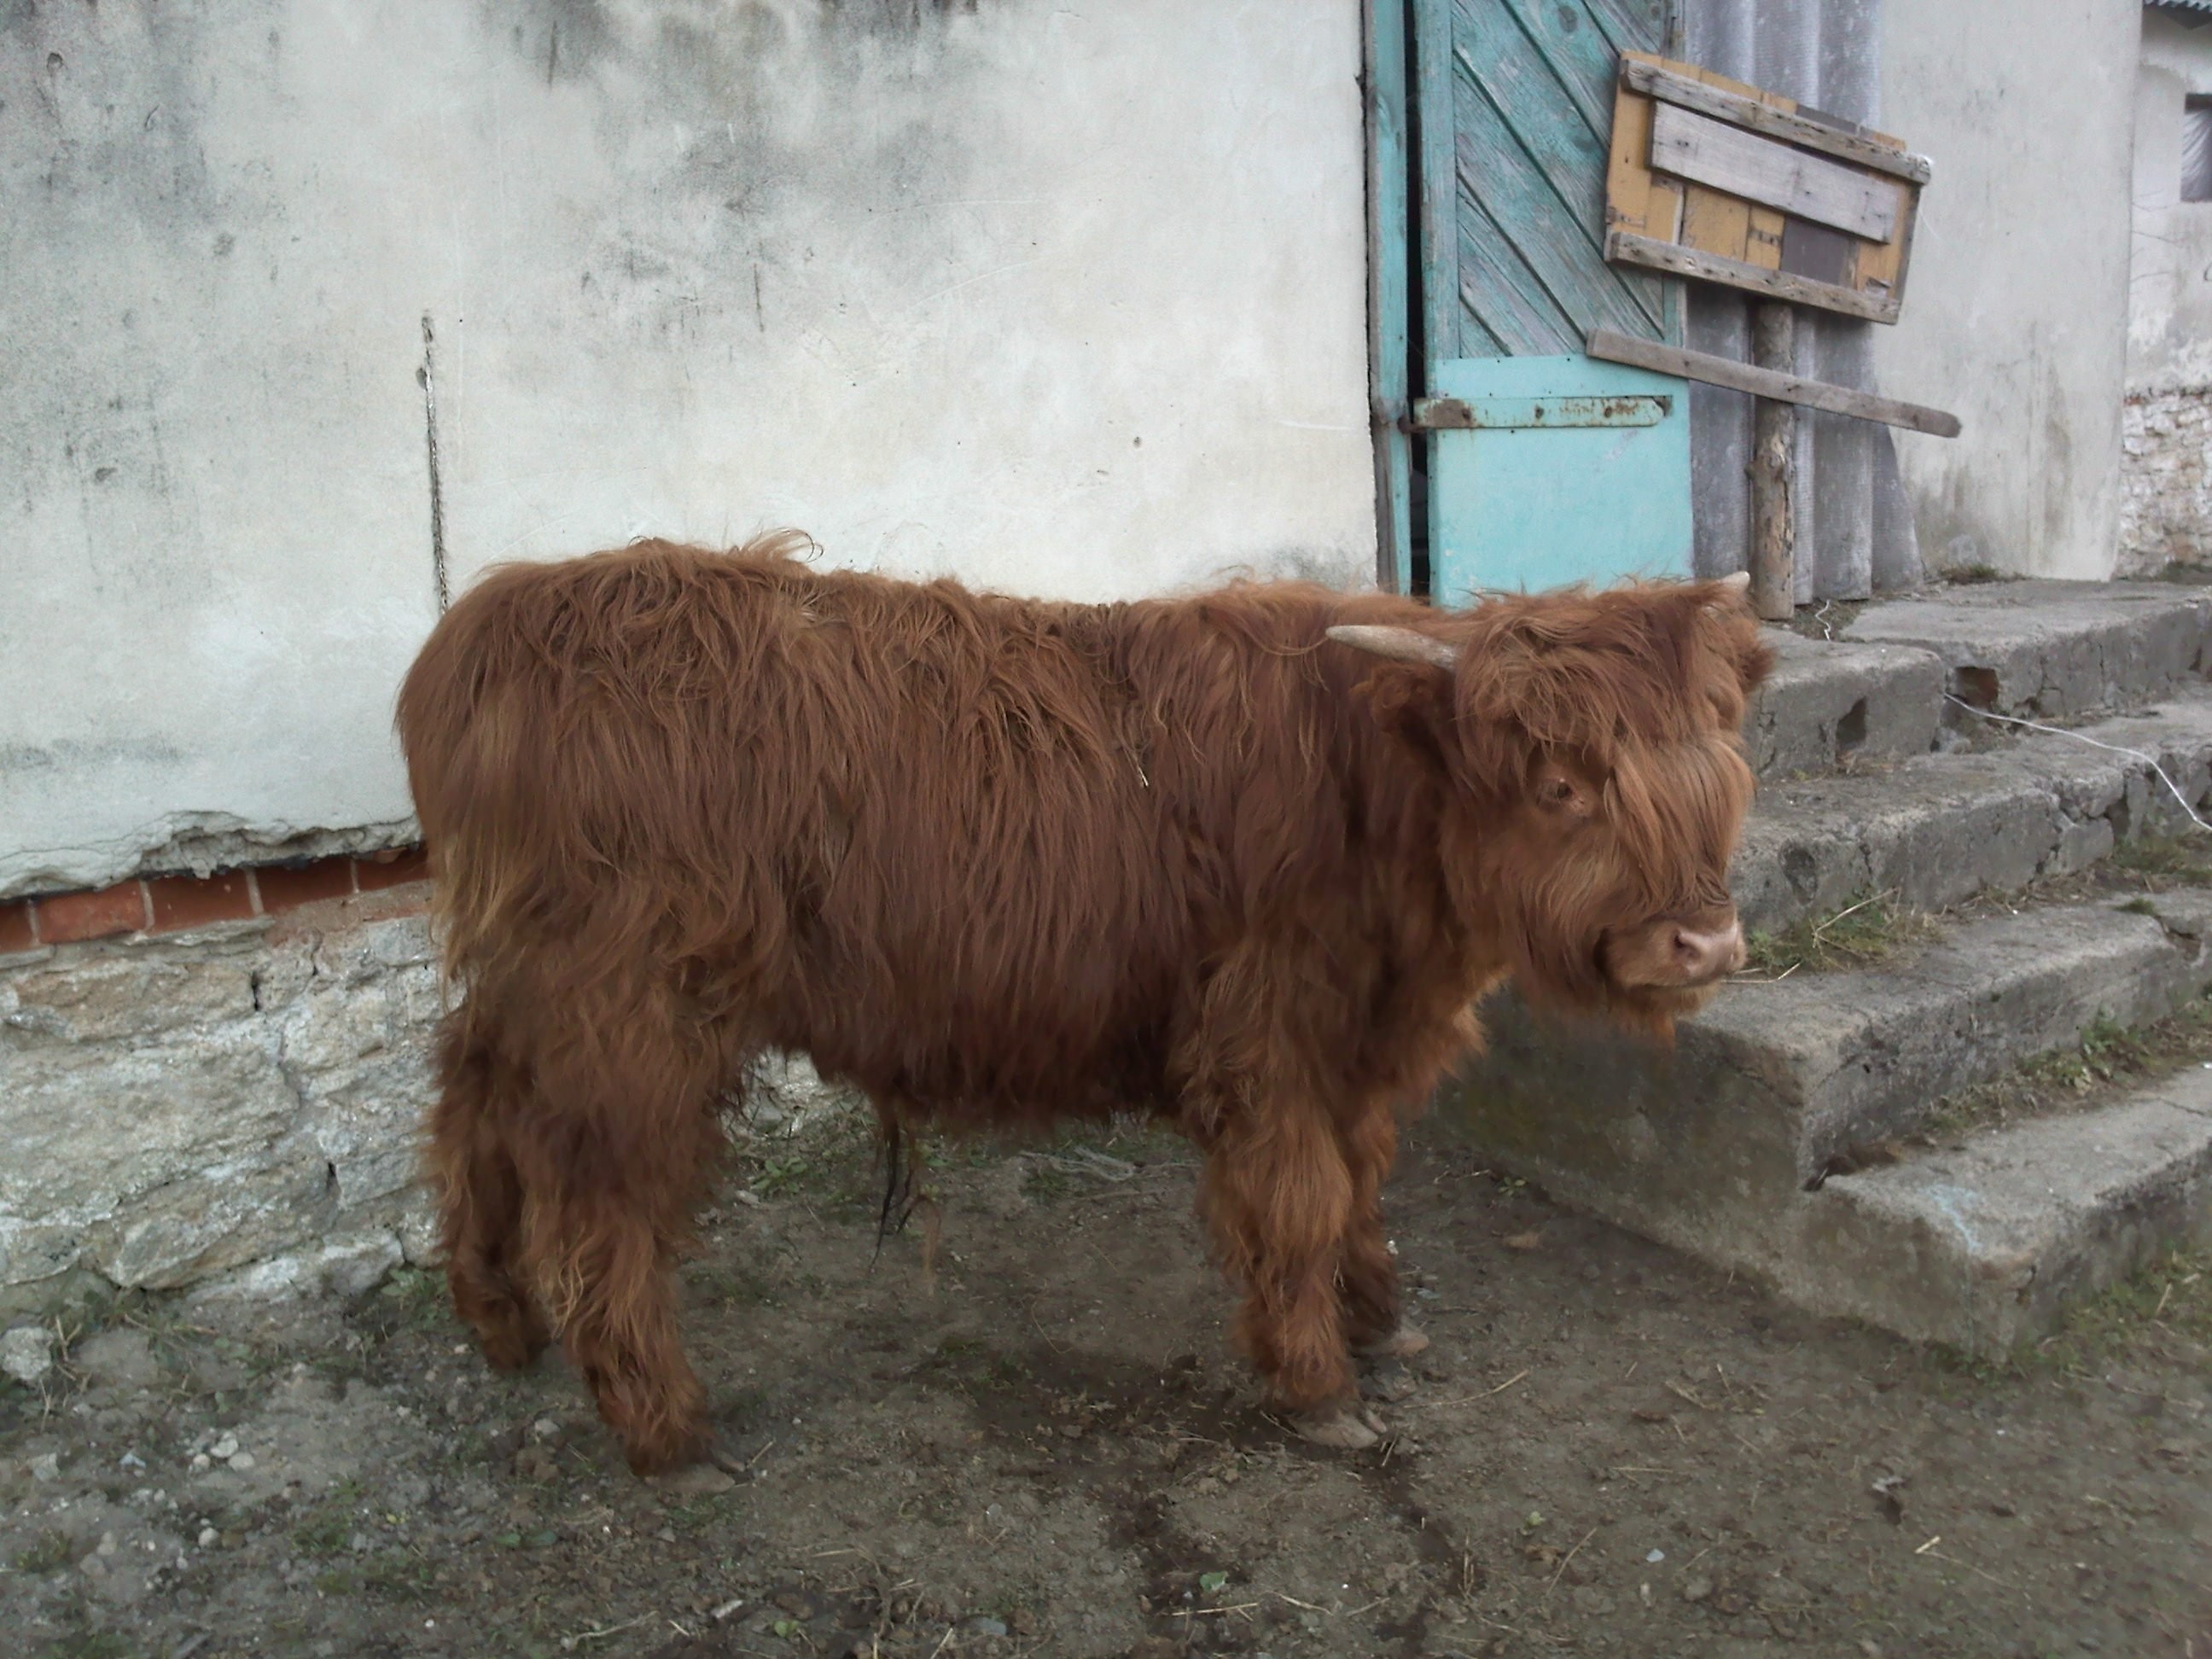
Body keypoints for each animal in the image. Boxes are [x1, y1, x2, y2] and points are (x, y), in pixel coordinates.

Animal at [395, 533, 1769, 1476]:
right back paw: (663, 1425)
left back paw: (500, 1324)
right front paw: (1318, 1384)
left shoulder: (1359, 1044)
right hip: (629, 1018)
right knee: (603, 1202)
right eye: (1560, 783)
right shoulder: (1266, 1037)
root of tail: (495, 624)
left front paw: (1379, 1319)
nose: (1704, 939)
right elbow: (1303, 1196)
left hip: (536, 994)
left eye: (1720, 769)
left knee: (471, 1108)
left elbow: (1362, 1181)